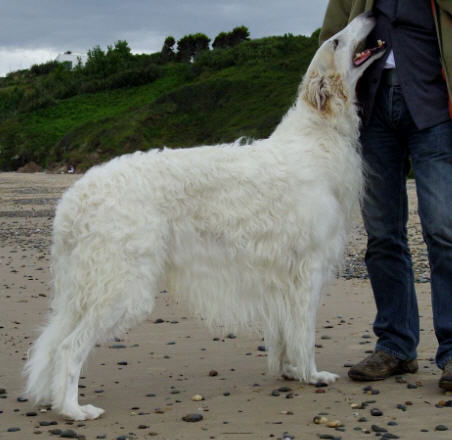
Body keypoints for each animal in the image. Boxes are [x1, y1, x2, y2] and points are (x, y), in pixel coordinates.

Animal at [23, 12, 384, 420]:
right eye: (337, 41)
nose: (370, 13)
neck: (315, 137)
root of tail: (73, 199)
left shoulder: (278, 277)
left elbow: (281, 337)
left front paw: (288, 372)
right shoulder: (306, 272)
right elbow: (304, 335)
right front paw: (312, 374)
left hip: (86, 288)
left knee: (53, 346)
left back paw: (55, 401)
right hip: (122, 288)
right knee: (69, 349)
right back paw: (74, 409)